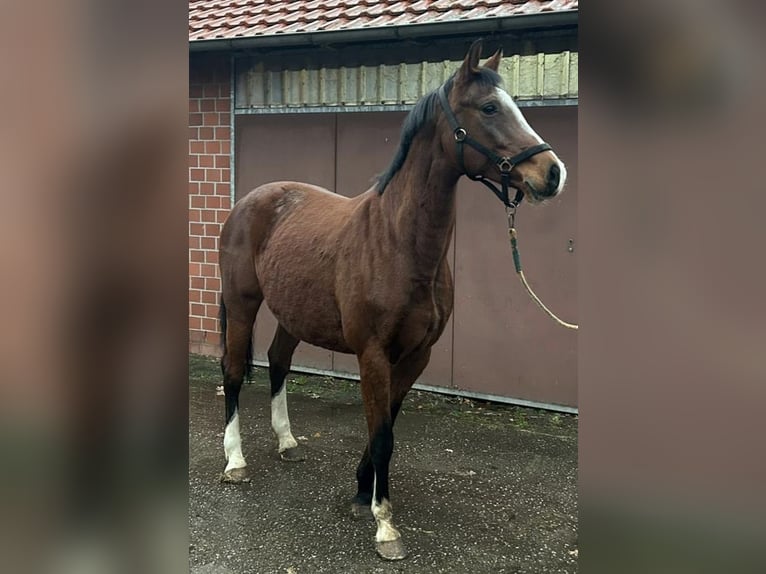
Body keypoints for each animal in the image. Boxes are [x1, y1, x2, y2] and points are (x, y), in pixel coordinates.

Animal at [217, 40, 567, 561]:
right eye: (489, 107)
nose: (552, 173)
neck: (399, 243)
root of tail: (249, 201)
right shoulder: (373, 355)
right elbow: (381, 434)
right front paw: (385, 525)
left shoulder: (416, 356)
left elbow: (388, 428)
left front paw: (364, 491)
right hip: (242, 304)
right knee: (235, 372)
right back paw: (235, 461)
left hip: (292, 314)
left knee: (278, 361)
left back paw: (287, 441)